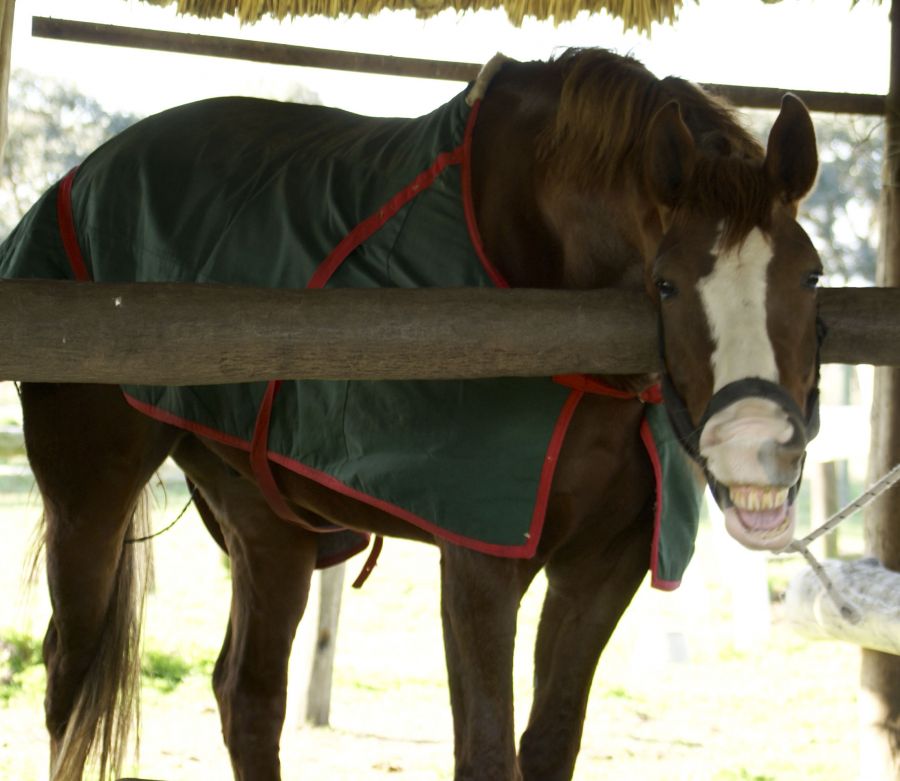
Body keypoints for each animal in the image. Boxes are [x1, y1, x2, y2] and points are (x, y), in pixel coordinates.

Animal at [5, 48, 824, 780]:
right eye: (666, 284)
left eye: (811, 275)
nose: (756, 444)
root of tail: (79, 178)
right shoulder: (480, 560)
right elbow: (489, 756)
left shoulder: (604, 565)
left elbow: (549, 747)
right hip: (89, 499)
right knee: (66, 675)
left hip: (266, 523)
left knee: (247, 697)